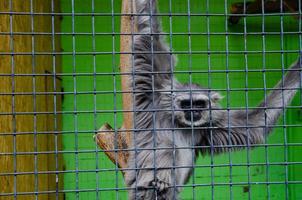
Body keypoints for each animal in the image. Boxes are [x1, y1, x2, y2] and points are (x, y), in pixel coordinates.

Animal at [123, 0, 302, 199]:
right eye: (186, 104)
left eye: (199, 104)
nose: (193, 111)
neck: (181, 124)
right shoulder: (154, 98)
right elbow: (150, 35)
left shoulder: (208, 126)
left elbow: (255, 124)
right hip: (138, 185)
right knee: (167, 148)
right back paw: (159, 183)